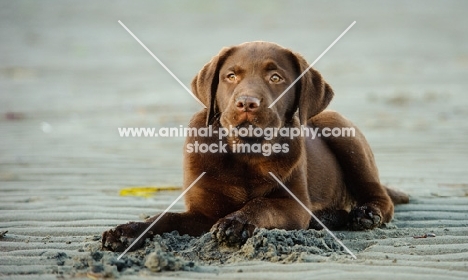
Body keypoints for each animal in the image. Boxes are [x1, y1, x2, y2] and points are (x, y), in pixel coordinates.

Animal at [101, 41, 406, 252]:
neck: (245, 154)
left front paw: (236, 222)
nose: (246, 103)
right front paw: (127, 231)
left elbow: (261, 203)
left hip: (340, 129)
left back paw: (364, 214)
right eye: (231, 76)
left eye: (276, 78)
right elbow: (164, 218)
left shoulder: (293, 205)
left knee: (381, 198)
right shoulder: (202, 213)